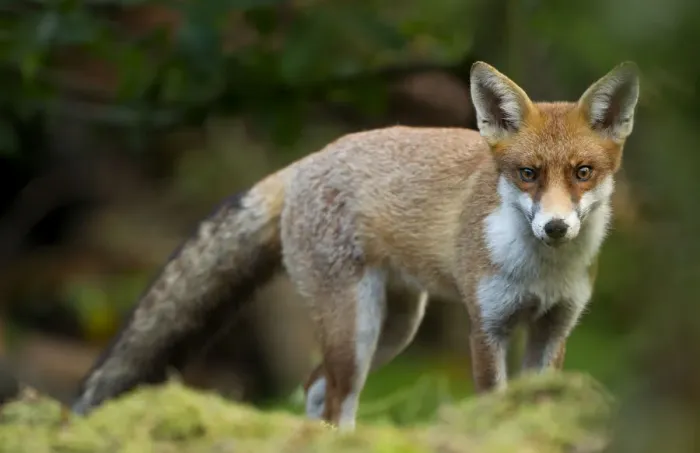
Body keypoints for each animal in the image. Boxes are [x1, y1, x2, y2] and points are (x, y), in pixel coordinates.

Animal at [71, 61, 640, 430]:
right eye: (527, 174)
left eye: (583, 173)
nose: (555, 228)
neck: (541, 272)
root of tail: (305, 162)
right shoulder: (487, 329)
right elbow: (491, 401)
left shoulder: (553, 328)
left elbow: (539, 404)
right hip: (355, 325)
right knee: (334, 400)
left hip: (394, 329)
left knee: (315, 388)